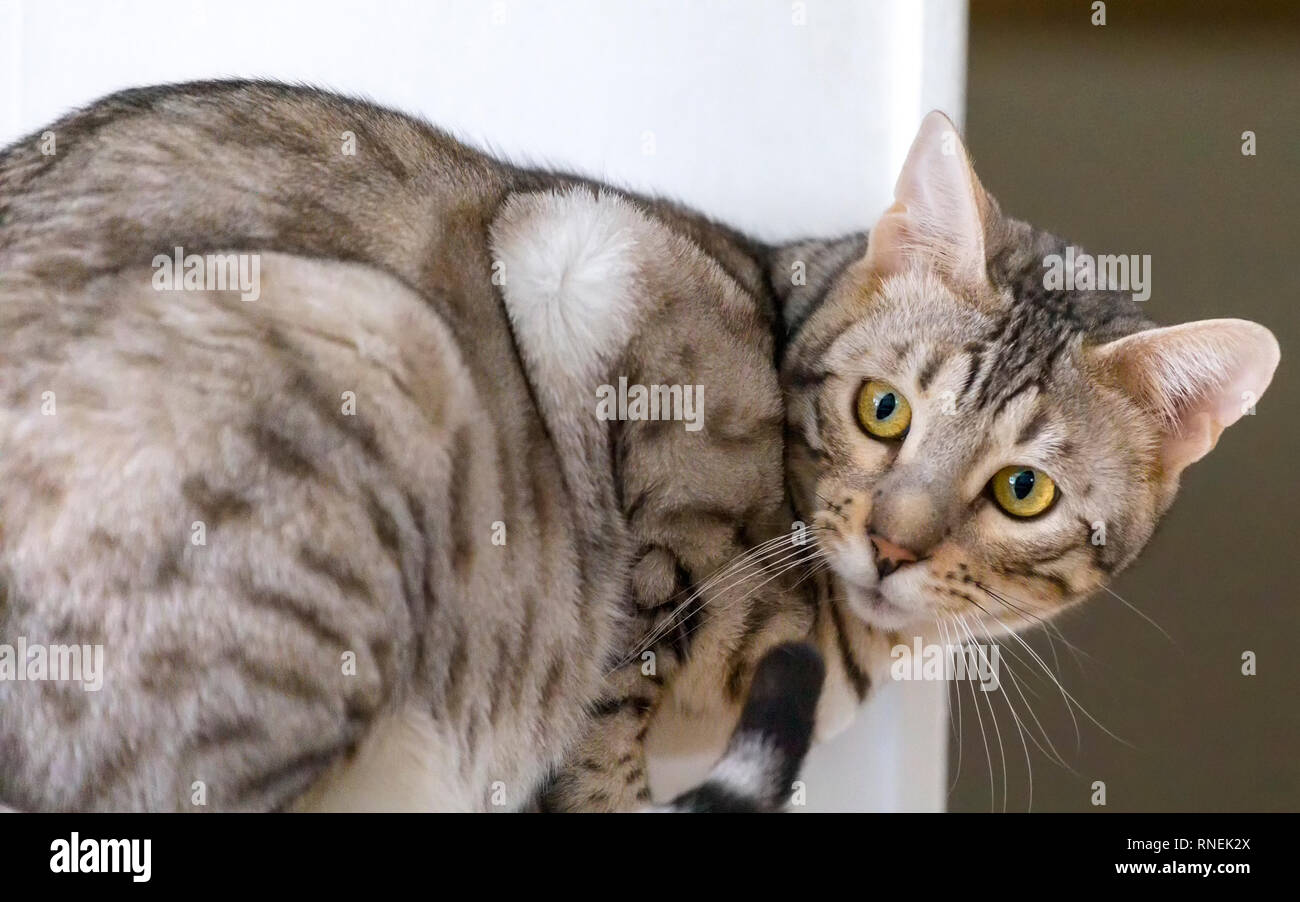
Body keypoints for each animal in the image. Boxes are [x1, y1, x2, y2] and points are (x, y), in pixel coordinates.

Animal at [0, 84, 1279, 816]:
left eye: (1020, 490)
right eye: (882, 410)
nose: (893, 543)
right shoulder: (588, 261)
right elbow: (607, 711)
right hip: (382, 348)